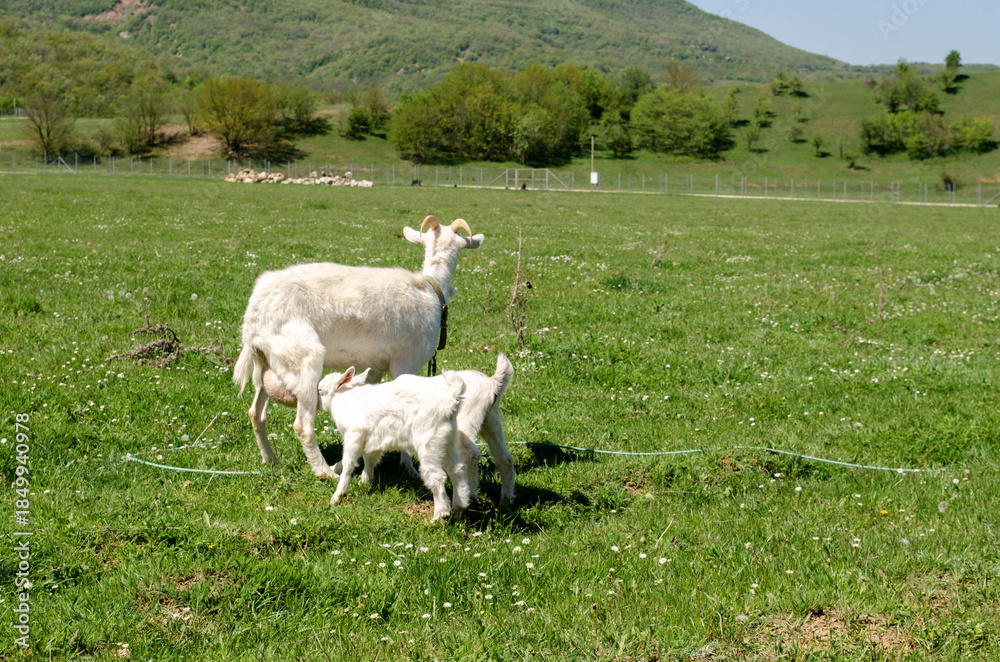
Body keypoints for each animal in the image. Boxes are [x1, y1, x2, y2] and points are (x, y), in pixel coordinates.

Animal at [233, 215, 483, 480]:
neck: (429, 288)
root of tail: (252, 318)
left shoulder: (375, 366)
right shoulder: (406, 362)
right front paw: (409, 467)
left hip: (267, 361)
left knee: (256, 413)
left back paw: (271, 460)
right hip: (301, 356)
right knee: (302, 425)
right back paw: (324, 472)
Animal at [318, 367, 472, 523]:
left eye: (320, 389)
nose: (316, 404)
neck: (344, 400)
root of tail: (450, 401)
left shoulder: (354, 435)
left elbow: (348, 464)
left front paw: (338, 495)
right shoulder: (372, 440)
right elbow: (369, 460)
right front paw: (364, 482)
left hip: (429, 444)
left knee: (438, 476)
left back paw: (439, 516)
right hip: (448, 440)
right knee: (456, 469)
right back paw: (458, 508)